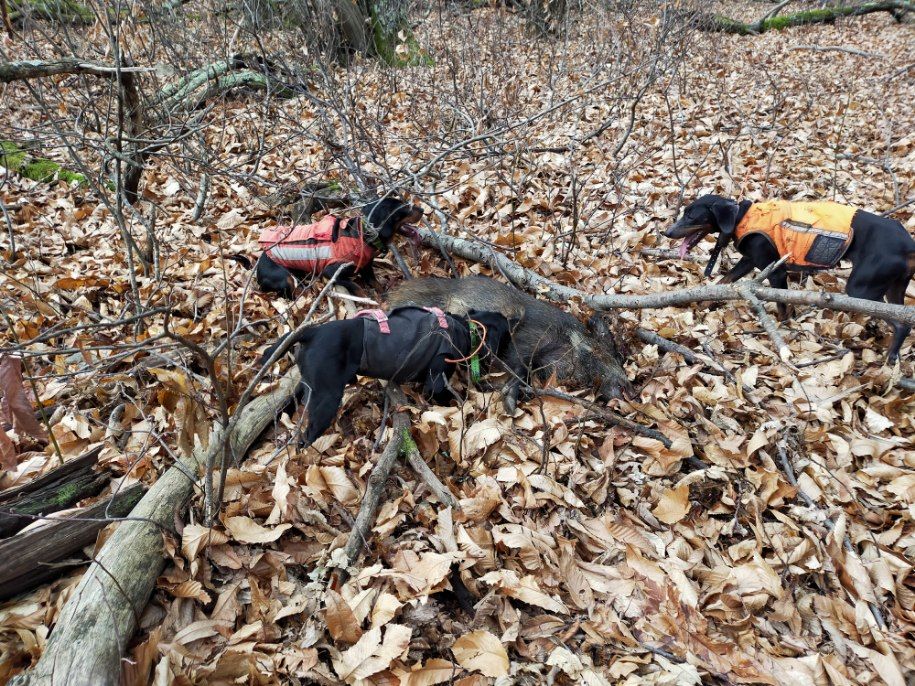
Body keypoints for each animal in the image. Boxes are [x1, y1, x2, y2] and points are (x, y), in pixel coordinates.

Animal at [254, 196, 426, 298]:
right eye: (404, 208)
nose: (423, 209)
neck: (360, 235)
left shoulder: (366, 269)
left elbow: (376, 284)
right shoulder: (331, 272)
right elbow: (357, 288)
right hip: (285, 278)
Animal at [262, 306, 512, 446]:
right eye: (507, 332)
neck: (465, 328)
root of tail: (312, 332)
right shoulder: (436, 381)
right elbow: (443, 397)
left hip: (311, 384)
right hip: (327, 397)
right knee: (309, 434)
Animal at [664, 196, 915, 362]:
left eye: (691, 215)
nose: (666, 232)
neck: (741, 216)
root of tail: (908, 245)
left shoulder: (775, 271)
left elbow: (782, 309)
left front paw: (783, 331)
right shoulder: (749, 261)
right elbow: (724, 281)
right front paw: (703, 303)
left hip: (862, 289)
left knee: (901, 323)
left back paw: (890, 357)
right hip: (894, 287)